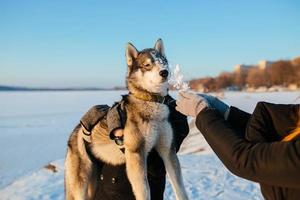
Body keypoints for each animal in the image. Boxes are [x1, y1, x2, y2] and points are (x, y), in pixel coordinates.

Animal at [65, 39, 188, 200]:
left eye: (163, 62)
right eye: (147, 65)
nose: (164, 72)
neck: (150, 101)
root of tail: (75, 132)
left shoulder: (168, 150)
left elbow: (180, 188)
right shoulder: (136, 154)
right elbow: (144, 191)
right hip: (80, 186)